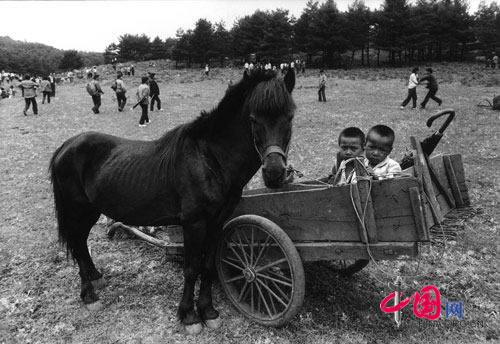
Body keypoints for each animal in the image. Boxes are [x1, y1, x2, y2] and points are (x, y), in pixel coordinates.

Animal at [48, 67, 294, 334]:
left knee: (81, 244)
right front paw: (189, 316)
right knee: (76, 244)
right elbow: (191, 268)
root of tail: (66, 146)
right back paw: (90, 295)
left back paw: (96, 278)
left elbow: (209, 266)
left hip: (91, 210)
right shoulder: (194, 224)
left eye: (290, 117)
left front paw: (208, 311)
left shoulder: (217, 222)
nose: (274, 173)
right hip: (77, 210)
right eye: (253, 119)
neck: (209, 160)